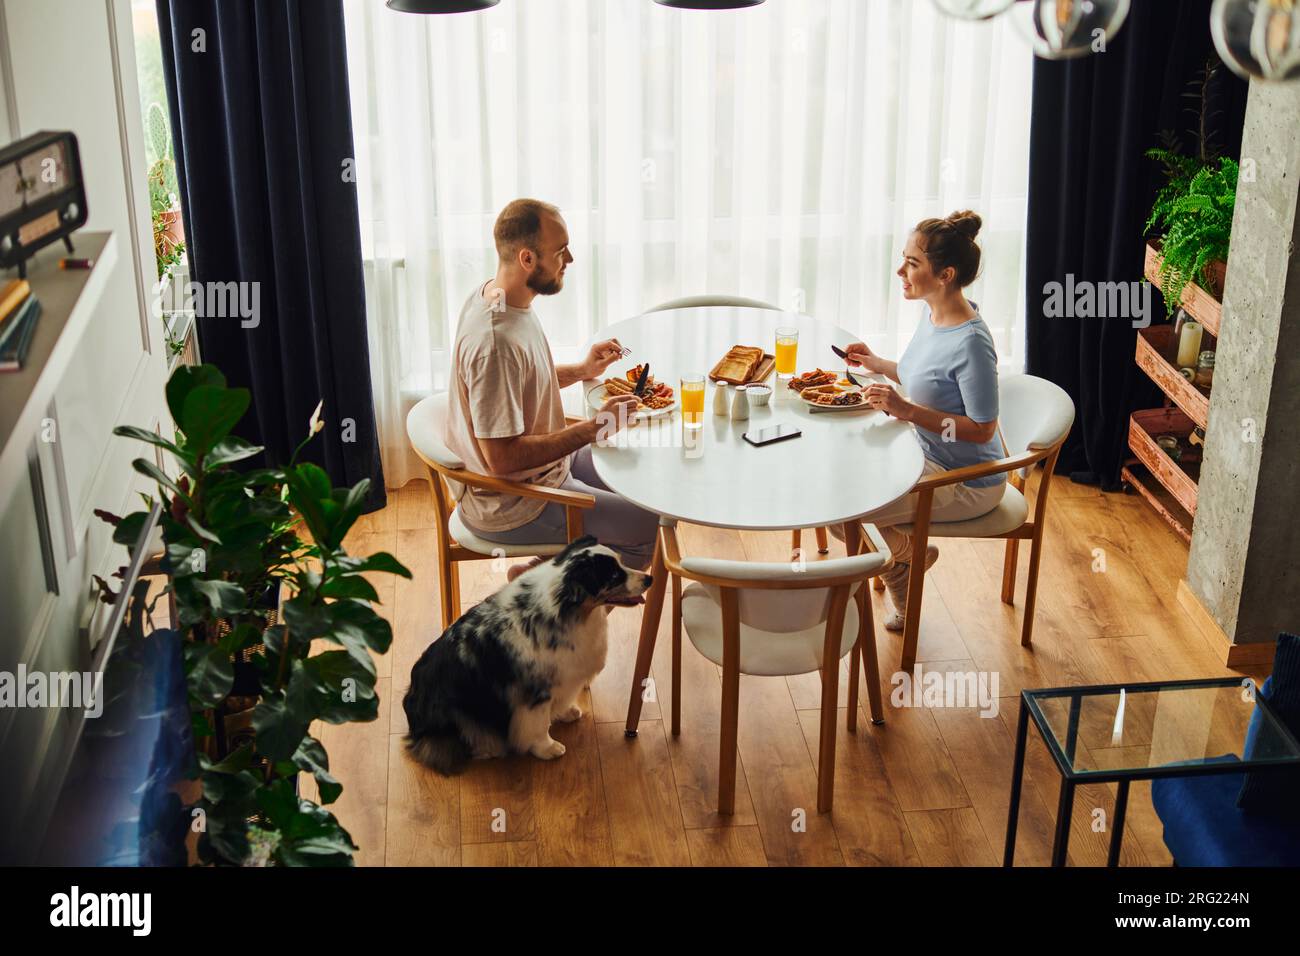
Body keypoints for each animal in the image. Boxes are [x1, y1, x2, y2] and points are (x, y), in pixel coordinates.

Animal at [403, 538, 650, 780]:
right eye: (615, 576)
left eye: (622, 562)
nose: (650, 578)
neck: (569, 610)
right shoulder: (535, 690)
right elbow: (538, 724)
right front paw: (548, 748)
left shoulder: (564, 678)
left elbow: (561, 701)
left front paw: (567, 712)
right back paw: (488, 748)